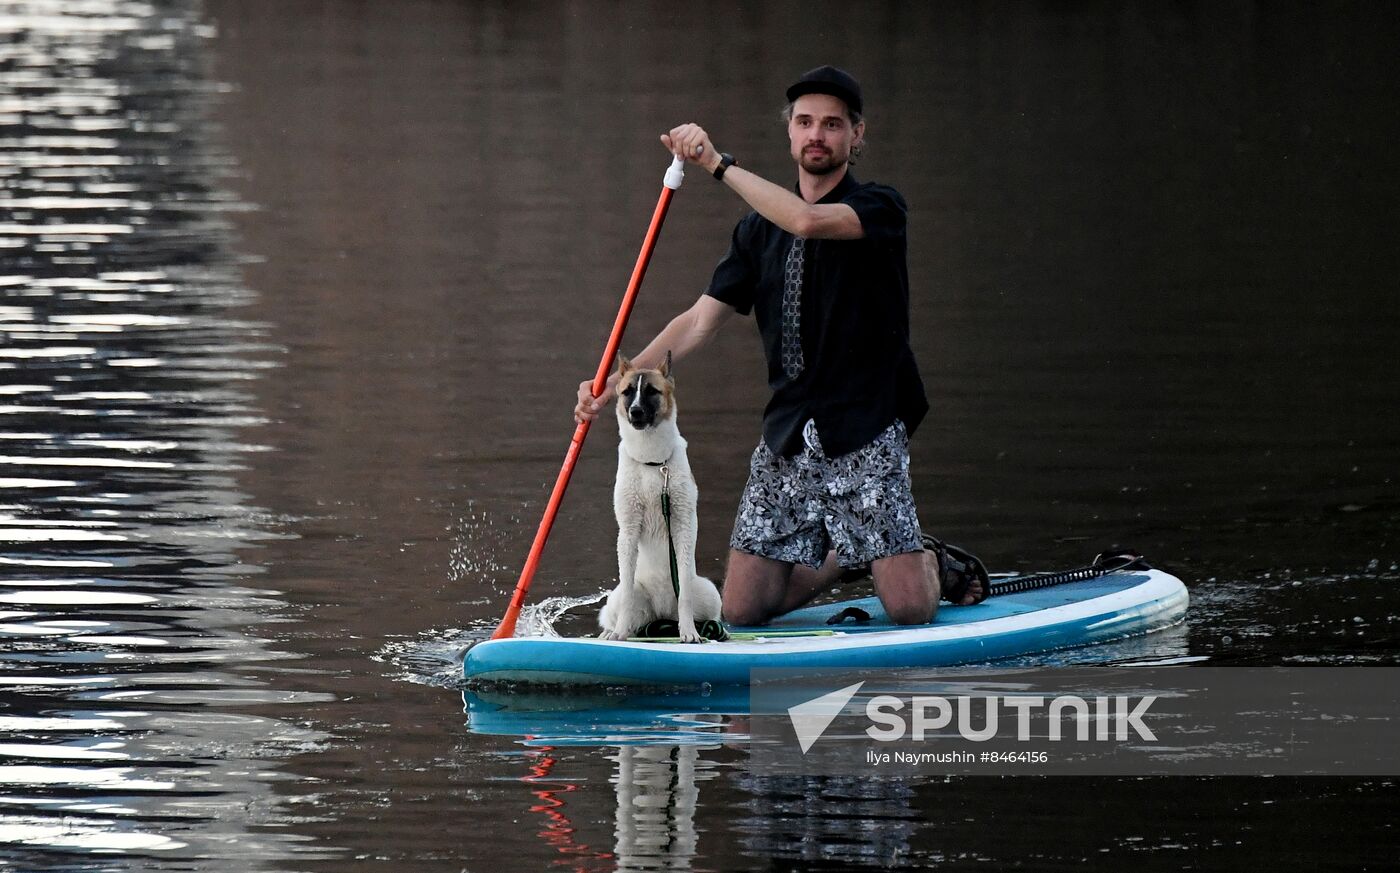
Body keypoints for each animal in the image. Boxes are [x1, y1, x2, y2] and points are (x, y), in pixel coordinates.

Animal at [596, 351, 722, 643]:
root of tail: (663, 612)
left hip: (709, 593)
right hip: (620, 598)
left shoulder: (683, 526)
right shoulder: (628, 530)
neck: (652, 463)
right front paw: (619, 634)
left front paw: (689, 632)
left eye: (652, 391)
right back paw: (612, 632)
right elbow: (627, 596)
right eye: (627, 392)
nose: (635, 412)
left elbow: (684, 593)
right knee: (622, 610)